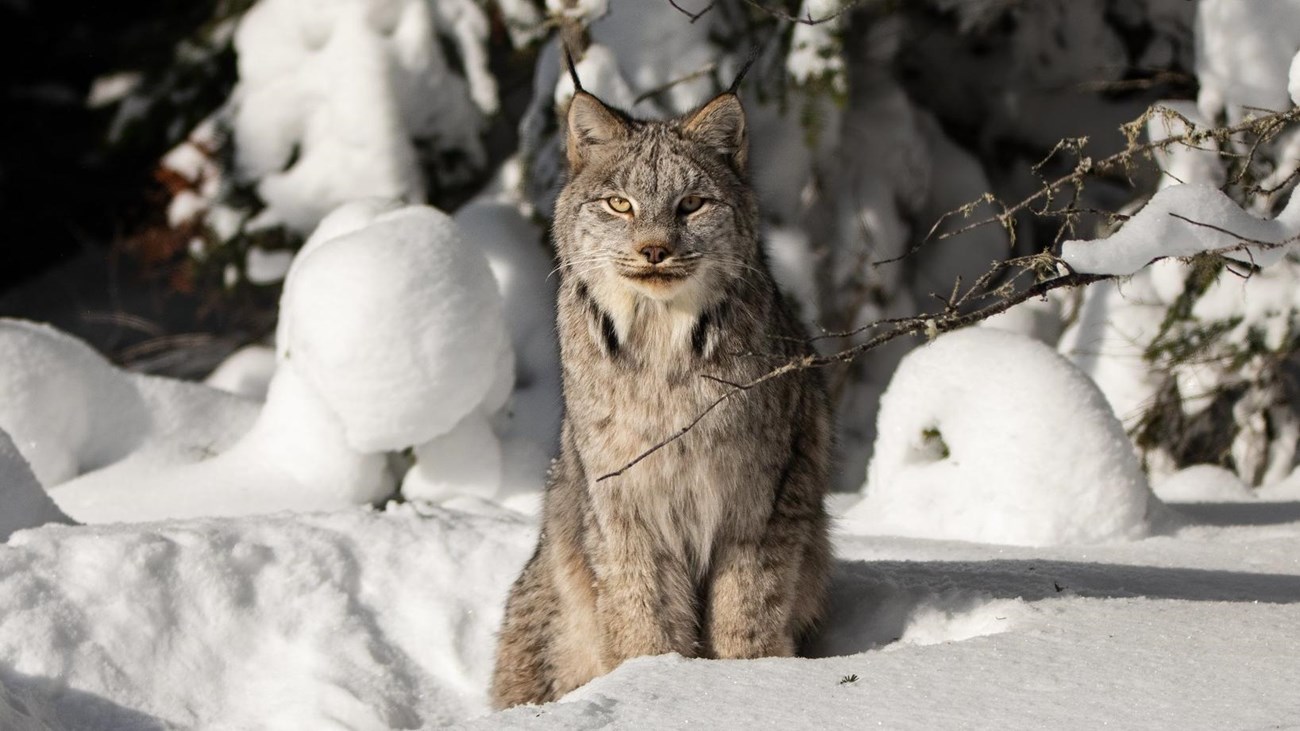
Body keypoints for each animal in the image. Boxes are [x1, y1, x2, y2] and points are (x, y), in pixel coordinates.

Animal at [488, 61, 832, 707]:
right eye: (619, 204)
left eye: (692, 204)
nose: (654, 250)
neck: (660, 344)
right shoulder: (625, 504)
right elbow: (641, 608)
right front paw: (654, 679)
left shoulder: (759, 501)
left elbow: (748, 607)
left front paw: (752, 681)